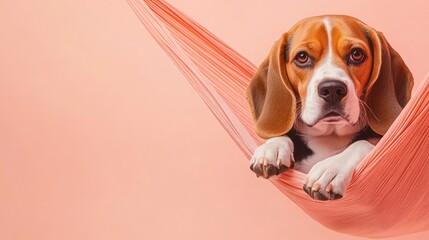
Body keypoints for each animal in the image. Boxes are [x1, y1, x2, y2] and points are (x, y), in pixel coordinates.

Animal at [246, 15, 412, 201]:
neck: (329, 136)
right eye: (302, 57)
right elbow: (282, 135)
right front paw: (271, 148)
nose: (332, 89)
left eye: (356, 54)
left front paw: (332, 168)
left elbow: (363, 143)